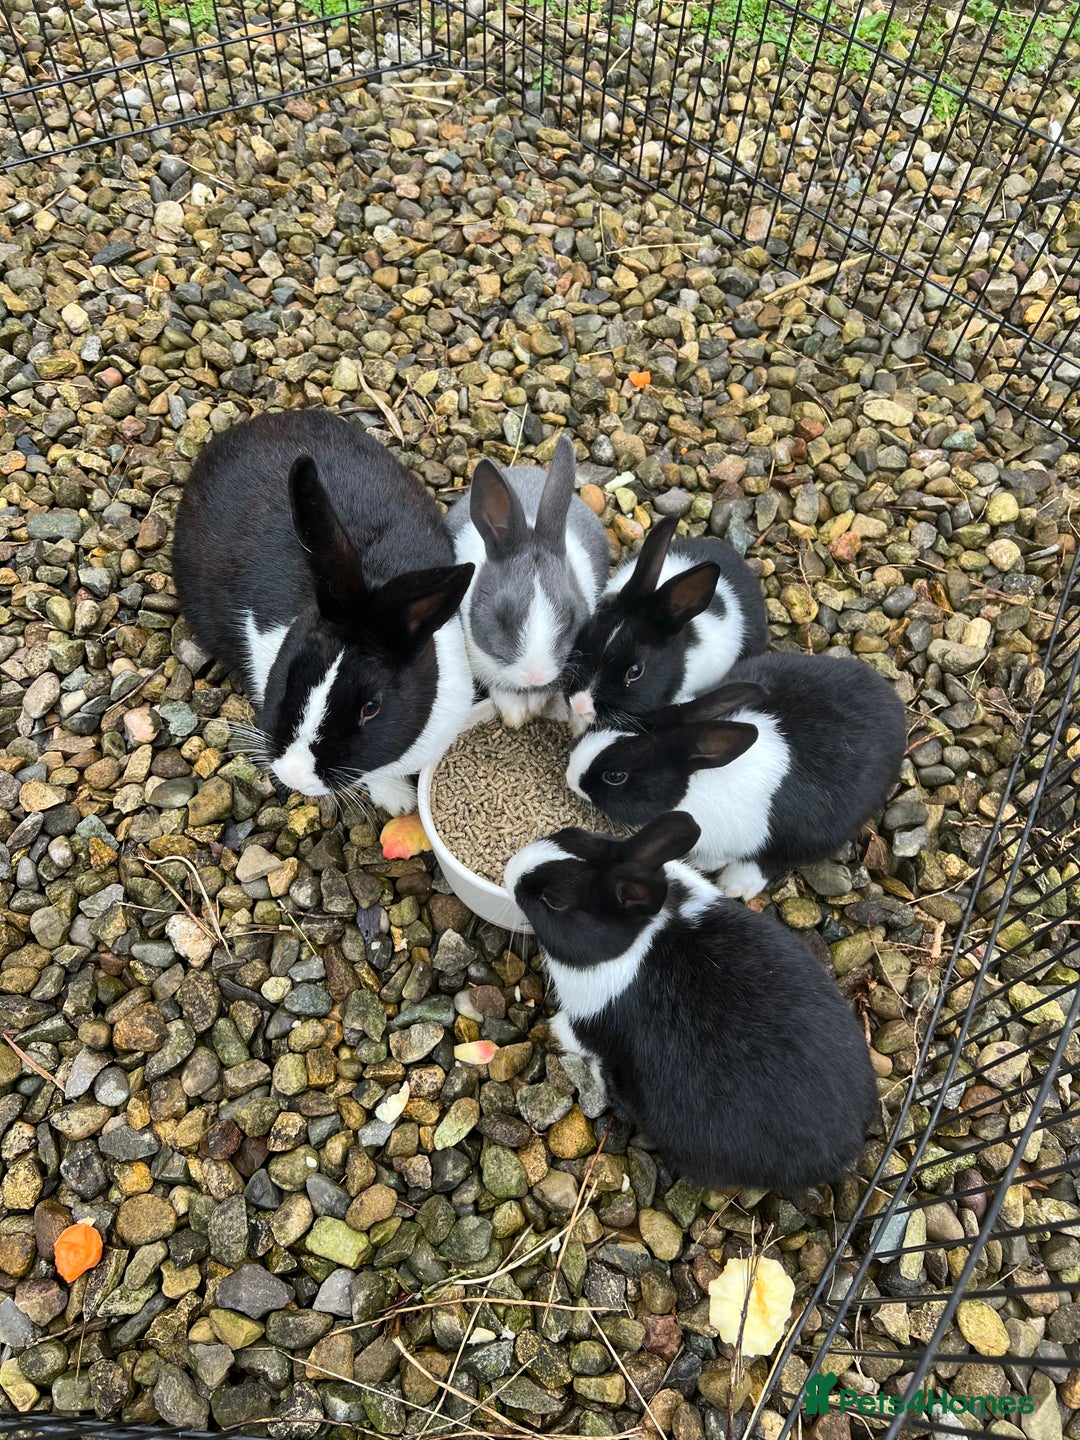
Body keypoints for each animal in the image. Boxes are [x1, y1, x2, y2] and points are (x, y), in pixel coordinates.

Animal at [505, 811, 878, 1192]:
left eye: (554, 901)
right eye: (571, 833)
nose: (510, 869)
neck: (639, 938)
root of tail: (840, 1158)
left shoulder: (590, 1022)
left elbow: (571, 1033)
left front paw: (550, 1029)